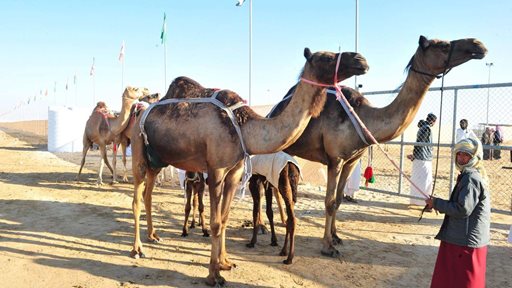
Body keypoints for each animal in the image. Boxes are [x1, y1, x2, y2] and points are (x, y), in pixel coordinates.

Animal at [128, 47, 368, 286]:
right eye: (327, 57)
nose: (361, 60)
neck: (245, 127)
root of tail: (139, 113)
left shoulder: (234, 172)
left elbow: (224, 219)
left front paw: (225, 262)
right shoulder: (215, 170)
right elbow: (215, 222)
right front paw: (213, 275)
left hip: (157, 161)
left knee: (148, 195)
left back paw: (153, 235)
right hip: (139, 149)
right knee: (136, 199)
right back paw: (137, 249)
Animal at [268, 35, 488, 258]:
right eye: (443, 45)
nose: (477, 44)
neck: (364, 116)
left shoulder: (351, 160)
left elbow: (338, 200)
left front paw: (336, 237)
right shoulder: (335, 159)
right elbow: (329, 202)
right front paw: (327, 246)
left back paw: (281, 221)